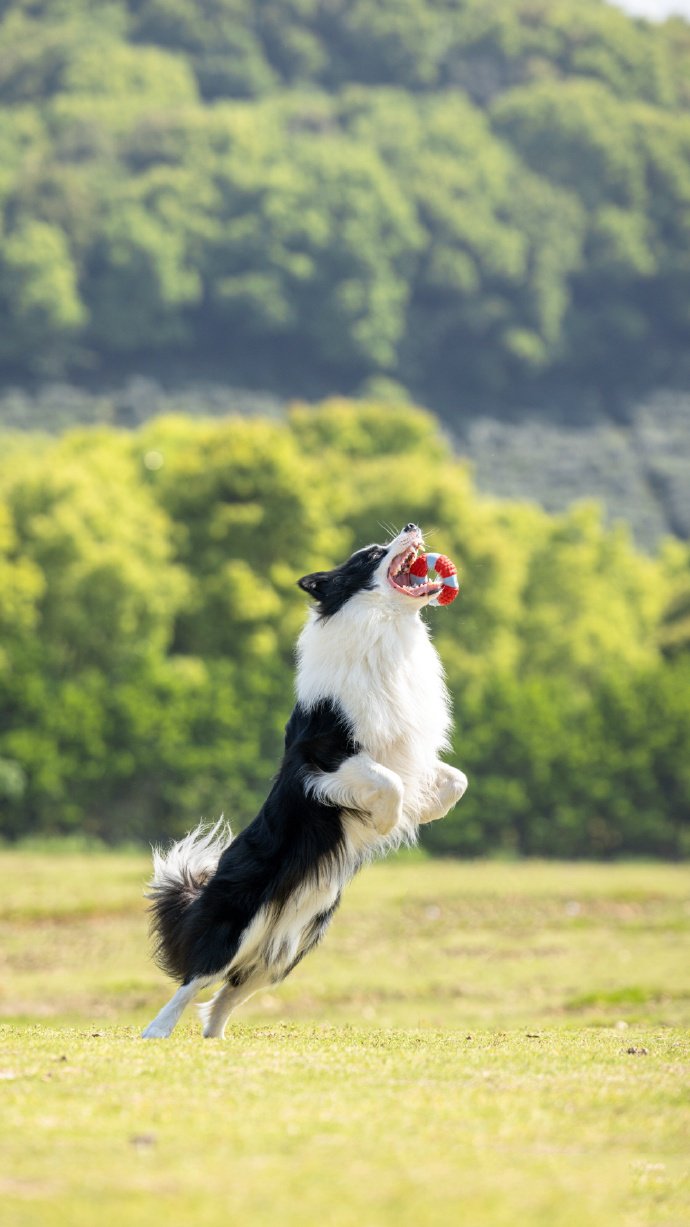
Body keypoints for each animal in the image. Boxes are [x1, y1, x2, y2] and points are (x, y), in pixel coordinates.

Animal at [144, 522, 466, 1040]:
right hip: (239, 926)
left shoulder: (410, 752)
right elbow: (387, 783)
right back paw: (154, 1031)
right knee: (195, 979)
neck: (386, 628)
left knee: (222, 997)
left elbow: (455, 779)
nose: (412, 526)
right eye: (372, 554)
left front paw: (428, 811)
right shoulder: (320, 757)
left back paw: (216, 1040)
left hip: (287, 950)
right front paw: (384, 821)